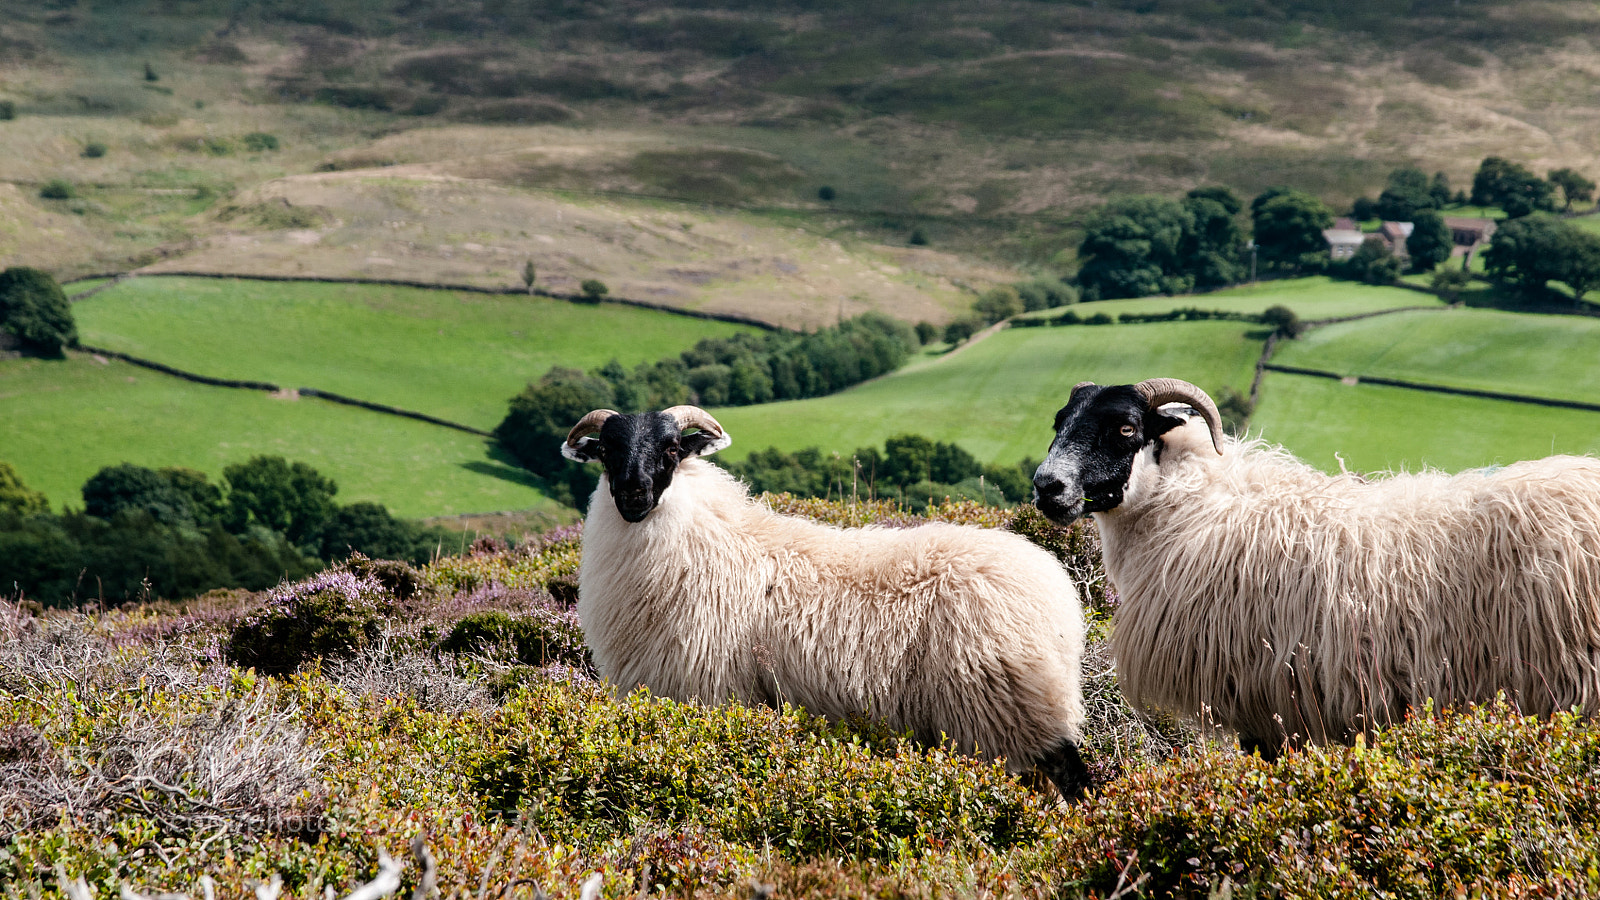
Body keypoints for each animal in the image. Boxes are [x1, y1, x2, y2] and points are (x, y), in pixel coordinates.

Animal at [561, 405, 1091, 797]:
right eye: (607, 451)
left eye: (671, 448)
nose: (633, 493)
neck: (702, 536)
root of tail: (1058, 594)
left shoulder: (708, 692)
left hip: (1006, 706)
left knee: (1073, 777)